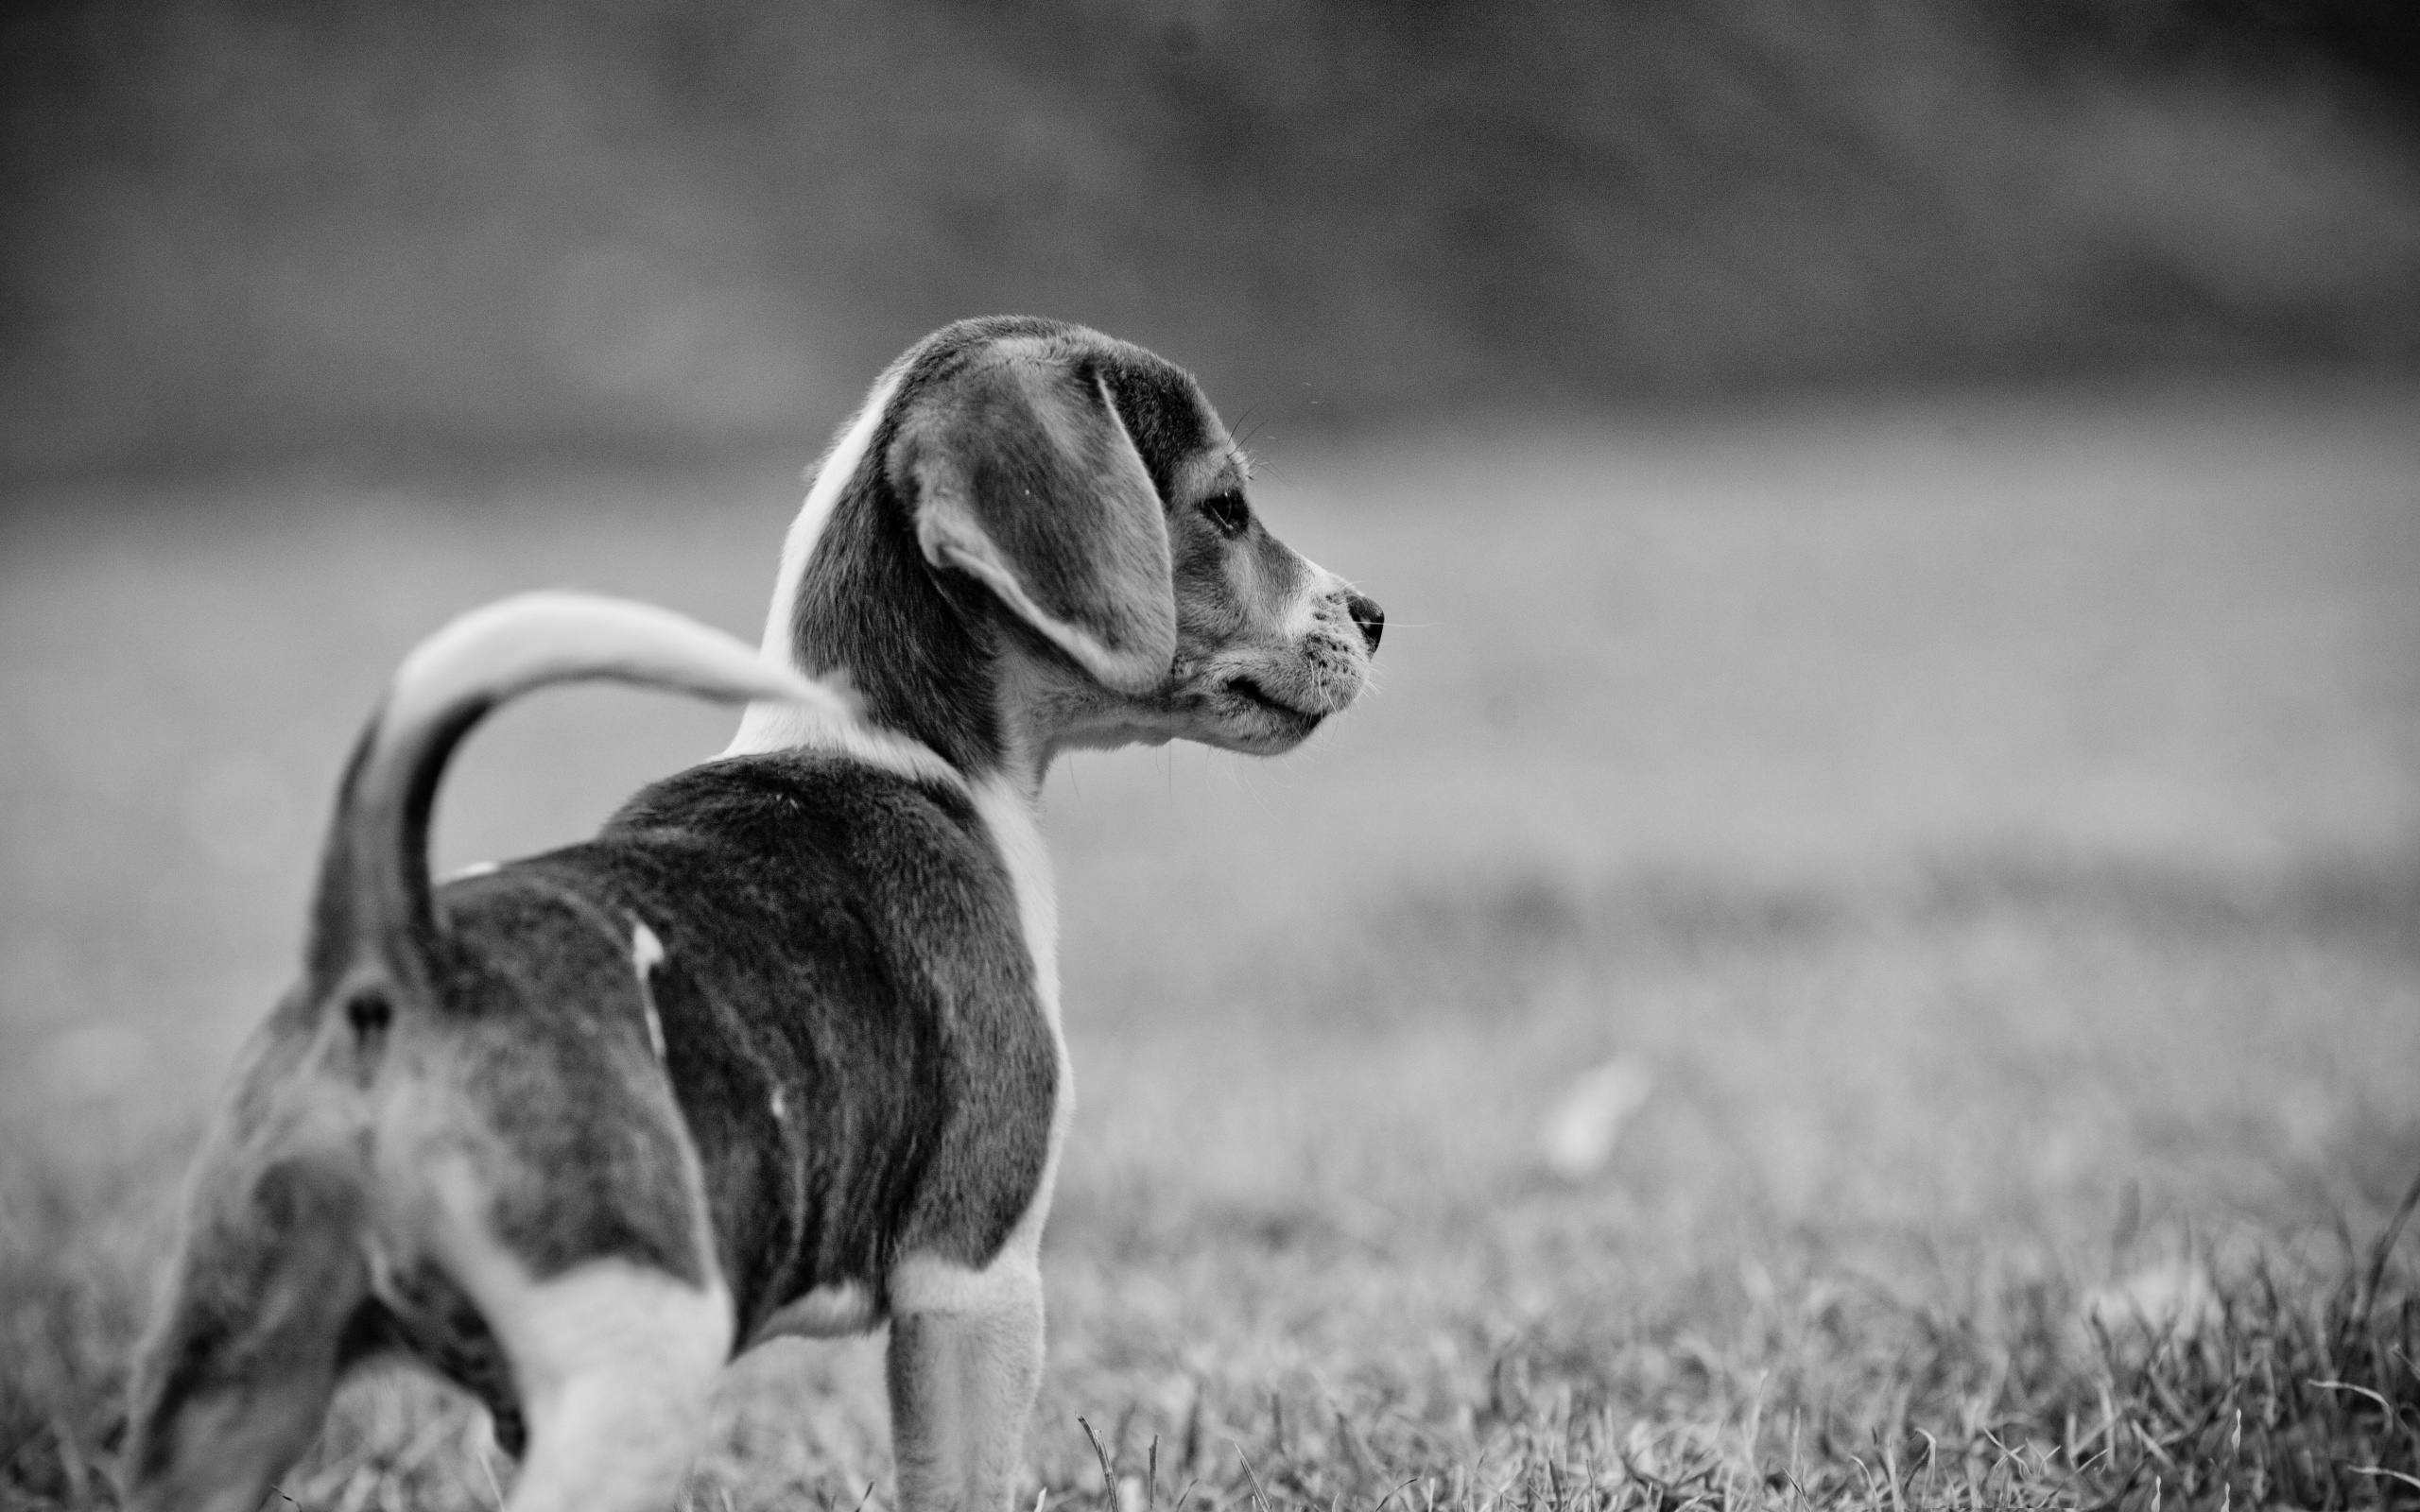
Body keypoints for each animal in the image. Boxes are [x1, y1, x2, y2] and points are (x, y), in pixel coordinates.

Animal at [128, 318, 1384, 1509]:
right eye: (1225, 508)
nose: (1373, 616)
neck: (876, 738)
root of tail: (389, 953)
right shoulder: (972, 1278)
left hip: (228, 1391)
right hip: (637, 1355)